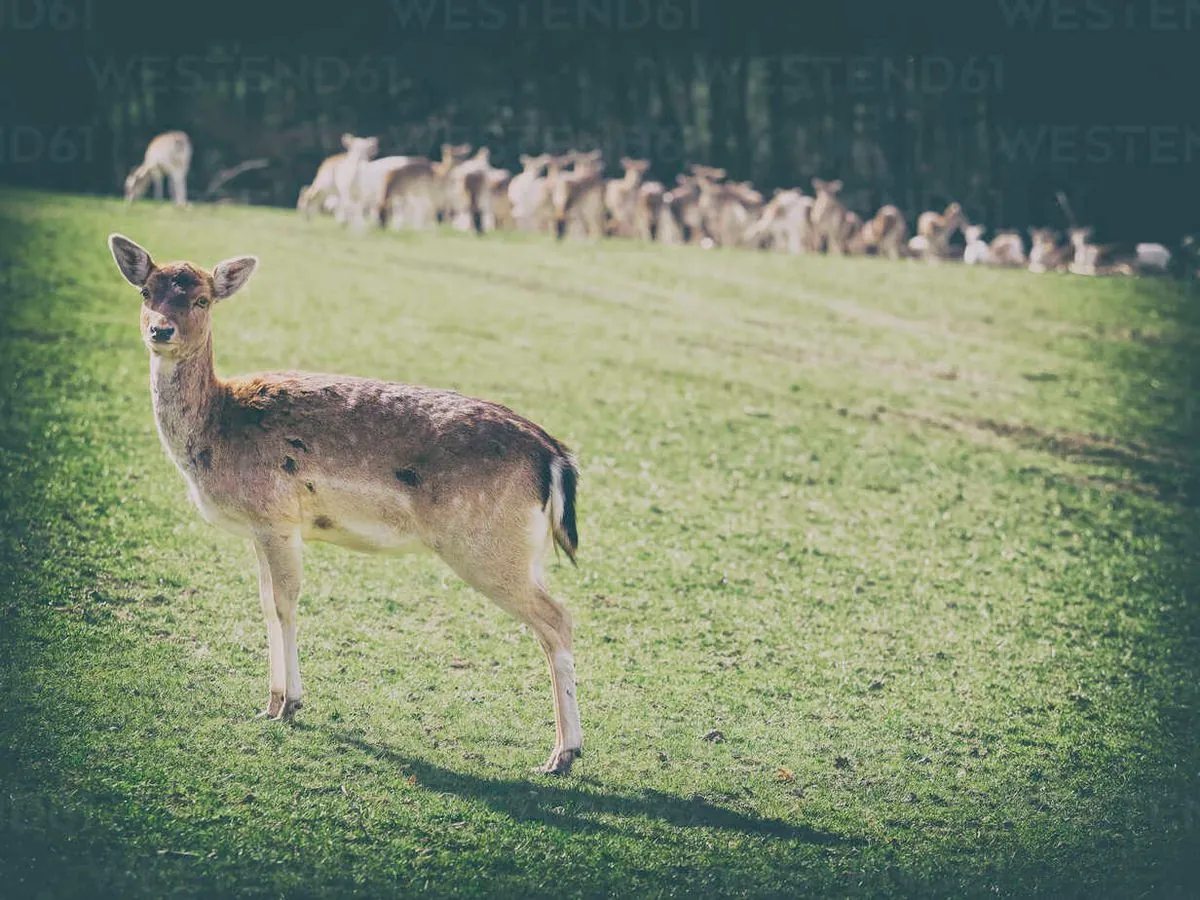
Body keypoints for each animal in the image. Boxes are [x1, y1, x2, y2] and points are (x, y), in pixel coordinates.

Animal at [108, 234, 585, 777]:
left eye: (203, 299)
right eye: (146, 290)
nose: (160, 330)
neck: (217, 428)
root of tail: (553, 454)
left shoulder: (276, 517)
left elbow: (285, 602)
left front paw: (288, 705)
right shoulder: (259, 528)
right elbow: (264, 604)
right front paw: (270, 701)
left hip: (486, 547)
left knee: (558, 619)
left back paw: (562, 754)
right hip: (527, 553)